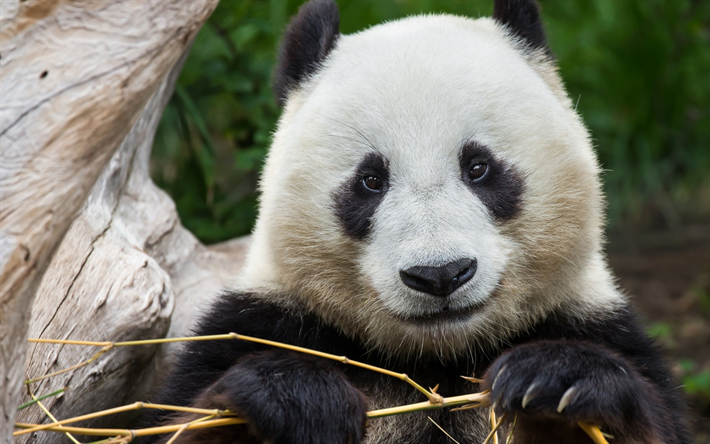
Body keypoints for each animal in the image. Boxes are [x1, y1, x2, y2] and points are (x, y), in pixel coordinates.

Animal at [142, 0, 692, 444]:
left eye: (479, 167)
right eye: (370, 180)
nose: (440, 275)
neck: (436, 362)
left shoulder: (591, 322)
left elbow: (650, 418)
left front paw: (555, 379)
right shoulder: (262, 324)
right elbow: (182, 419)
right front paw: (296, 397)